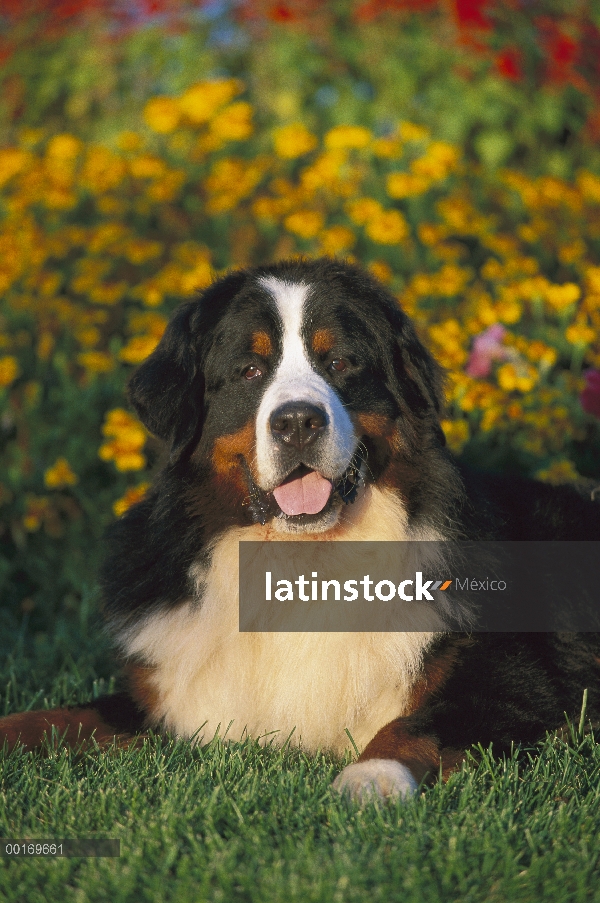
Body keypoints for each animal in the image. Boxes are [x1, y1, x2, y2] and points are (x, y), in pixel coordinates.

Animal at [1, 258, 600, 800]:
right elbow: (56, 716)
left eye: (339, 362)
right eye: (249, 370)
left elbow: (413, 726)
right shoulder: (160, 698)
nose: (296, 422)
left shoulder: (506, 681)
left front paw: (369, 778)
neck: (301, 559)